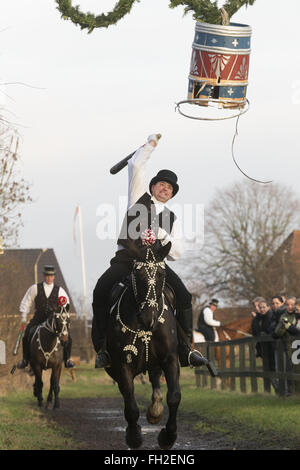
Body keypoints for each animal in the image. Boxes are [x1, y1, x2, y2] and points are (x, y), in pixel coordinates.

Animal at [104, 241, 182, 450]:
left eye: (161, 274)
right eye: (138, 276)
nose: (149, 318)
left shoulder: (170, 359)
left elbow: (174, 396)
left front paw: (168, 437)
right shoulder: (122, 364)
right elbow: (130, 403)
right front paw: (134, 437)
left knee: (155, 379)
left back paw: (155, 410)